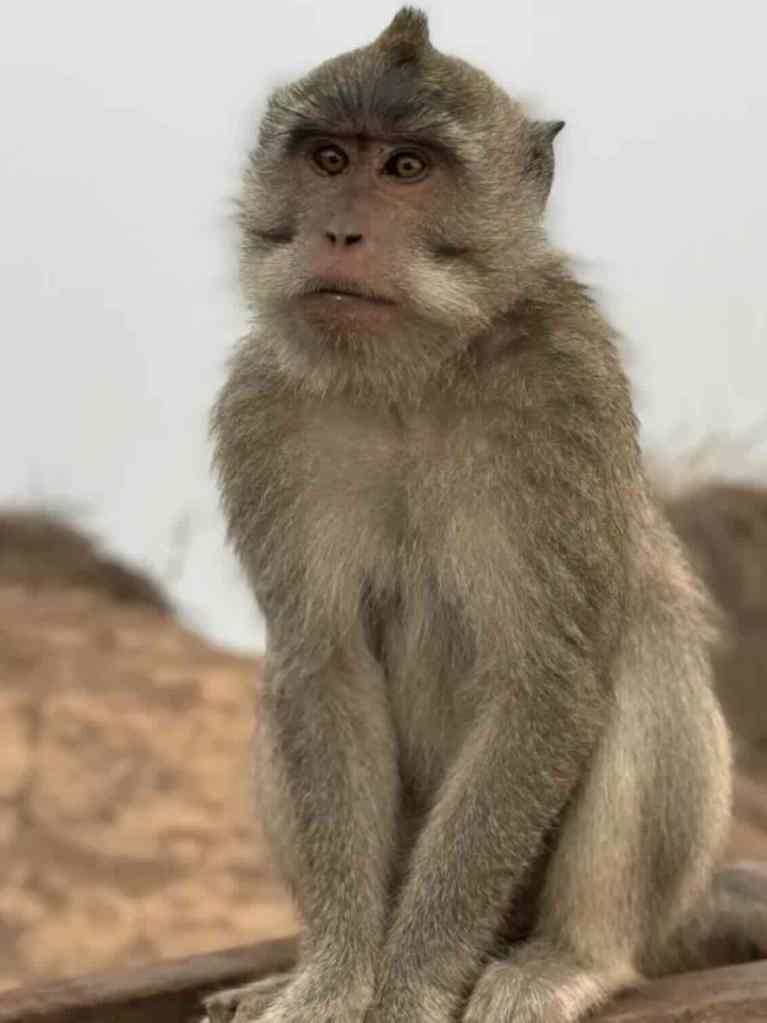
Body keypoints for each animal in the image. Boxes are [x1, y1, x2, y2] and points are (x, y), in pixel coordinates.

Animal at [205, 9, 767, 1023]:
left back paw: (570, 958)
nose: (339, 230)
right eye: (328, 157)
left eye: (407, 168)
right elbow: (323, 668)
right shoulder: (265, 410)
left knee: (641, 652)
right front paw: (335, 979)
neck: (411, 376)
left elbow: (545, 678)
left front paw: (409, 987)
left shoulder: (564, 389)